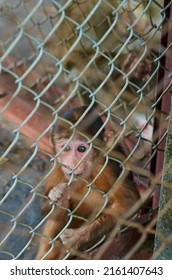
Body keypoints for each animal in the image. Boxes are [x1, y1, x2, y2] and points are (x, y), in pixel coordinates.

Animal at [36, 106, 140, 260]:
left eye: (81, 149)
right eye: (66, 148)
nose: (72, 163)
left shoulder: (106, 168)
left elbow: (129, 204)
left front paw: (77, 236)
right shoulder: (57, 166)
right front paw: (57, 197)